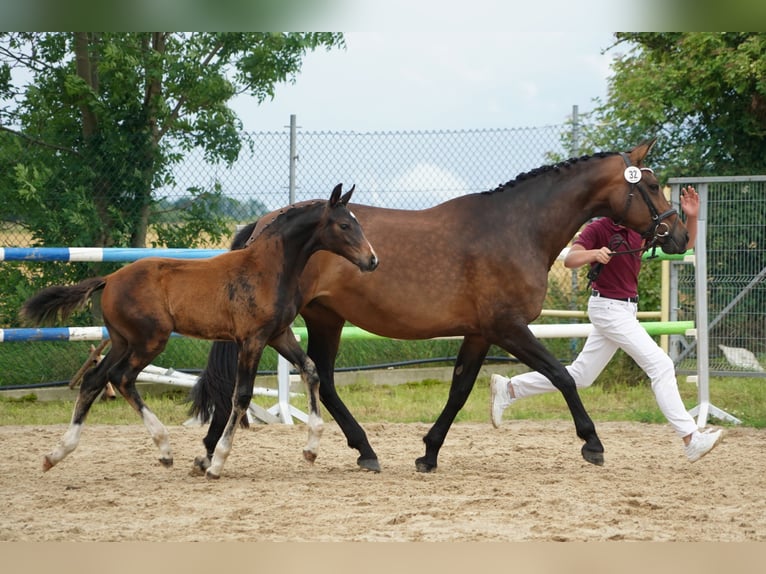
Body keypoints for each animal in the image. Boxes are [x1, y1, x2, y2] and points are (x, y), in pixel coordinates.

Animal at [22, 183, 382, 476]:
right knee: (121, 378)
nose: (372, 261)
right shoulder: (251, 340)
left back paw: (56, 454)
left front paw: (311, 449)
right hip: (149, 340)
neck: (266, 268)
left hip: (124, 340)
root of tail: (109, 279)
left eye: (358, 222)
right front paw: (217, 462)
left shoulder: (278, 335)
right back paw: (164, 449)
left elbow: (310, 370)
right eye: (345, 224)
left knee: (95, 380)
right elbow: (242, 395)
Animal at [190, 138, 688, 472]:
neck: (517, 229)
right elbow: (561, 375)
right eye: (653, 184)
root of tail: (264, 224)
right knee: (287, 380)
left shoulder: (480, 333)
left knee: (322, 381)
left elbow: (460, 389)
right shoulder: (508, 327)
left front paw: (428, 452)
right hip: (291, 321)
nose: (679, 236)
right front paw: (592, 443)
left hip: (323, 318)